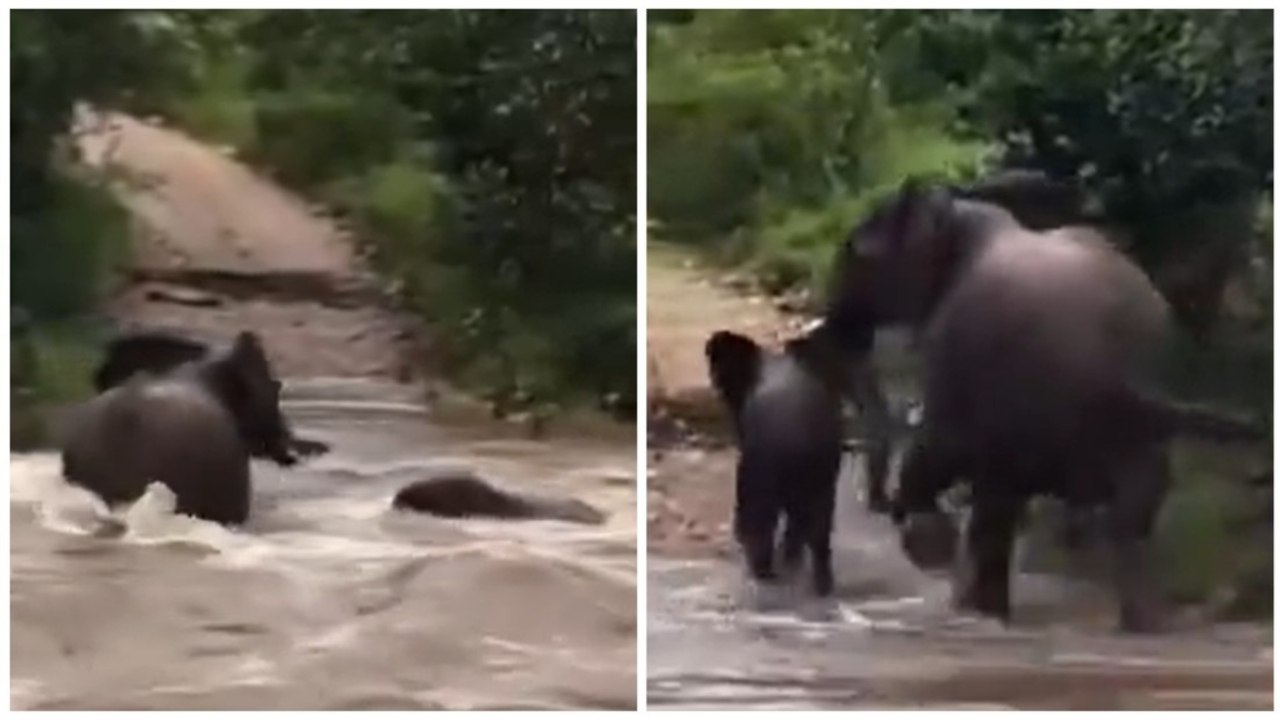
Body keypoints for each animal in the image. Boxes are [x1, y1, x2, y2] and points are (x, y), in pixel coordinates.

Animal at [705, 327, 854, 596]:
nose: (714, 378)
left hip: (762, 476)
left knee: (761, 520)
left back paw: (762, 568)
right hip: (821, 480)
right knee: (817, 528)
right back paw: (819, 579)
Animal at [823, 178, 1267, 632]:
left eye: (852, 251)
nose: (879, 504)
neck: (958, 213)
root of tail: (1117, 366)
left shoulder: (954, 353)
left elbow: (941, 447)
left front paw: (929, 543)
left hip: (1034, 397)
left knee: (1001, 498)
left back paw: (986, 611)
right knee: (1129, 515)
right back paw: (1140, 625)